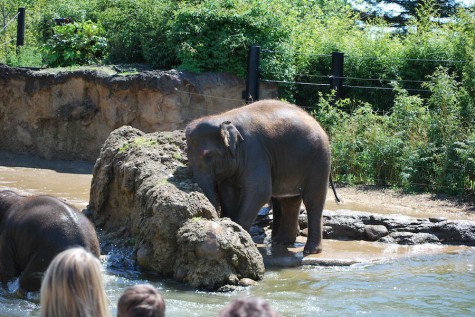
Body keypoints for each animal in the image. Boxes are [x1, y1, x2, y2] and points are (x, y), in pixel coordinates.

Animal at [184, 98, 340, 252]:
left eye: (208, 155)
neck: (222, 117)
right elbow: (228, 192)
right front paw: (231, 225)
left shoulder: (255, 152)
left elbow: (259, 192)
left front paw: (239, 233)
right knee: (290, 200)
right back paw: (282, 242)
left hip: (319, 160)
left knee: (313, 199)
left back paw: (310, 250)